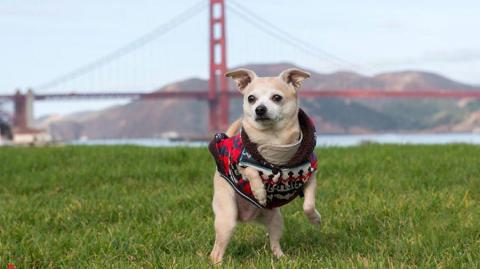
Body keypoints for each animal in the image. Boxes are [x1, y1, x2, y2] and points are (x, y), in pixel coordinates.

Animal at [208, 67, 320, 262]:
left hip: (275, 220)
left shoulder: (309, 177)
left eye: (276, 97)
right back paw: (218, 263)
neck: (274, 143)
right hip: (227, 219)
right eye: (251, 98)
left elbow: (308, 205)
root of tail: (246, 217)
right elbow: (251, 170)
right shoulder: (240, 162)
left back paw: (282, 258)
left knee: (274, 242)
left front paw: (315, 219)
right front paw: (259, 192)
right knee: (215, 252)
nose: (259, 109)